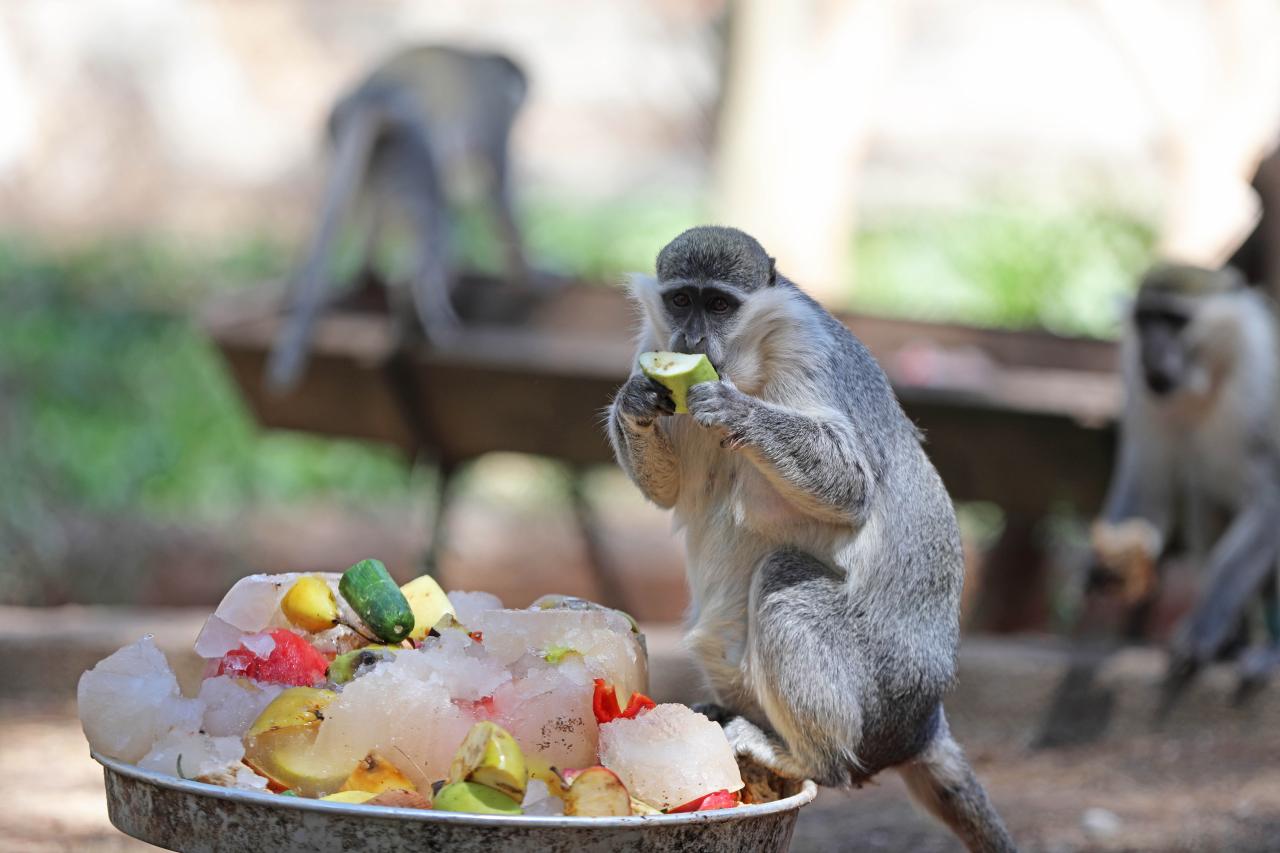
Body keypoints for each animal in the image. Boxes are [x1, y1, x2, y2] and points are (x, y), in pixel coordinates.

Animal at [270, 48, 529, 386]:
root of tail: (373, 97)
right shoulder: (492, 107)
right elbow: (498, 192)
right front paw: (525, 274)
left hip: (354, 142)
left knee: (352, 207)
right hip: (407, 149)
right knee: (435, 222)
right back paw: (422, 300)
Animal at [604, 225, 1013, 850]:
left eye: (718, 304)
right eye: (682, 299)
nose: (690, 338)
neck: (748, 363)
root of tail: (922, 723)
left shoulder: (808, 347)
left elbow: (853, 486)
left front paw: (738, 413)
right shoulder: (653, 339)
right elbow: (669, 490)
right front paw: (634, 402)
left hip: (878, 692)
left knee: (787, 582)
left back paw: (809, 760)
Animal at [1085, 262, 1280, 701]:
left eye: (1175, 321)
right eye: (1146, 320)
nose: (1153, 352)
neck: (1210, 378)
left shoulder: (1260, 376)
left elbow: (1272, 505)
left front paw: (1205, 624)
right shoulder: (1138, 382)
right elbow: (1148, 486)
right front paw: (1108, 566)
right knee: (1204, 502)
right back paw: (1235, 642)